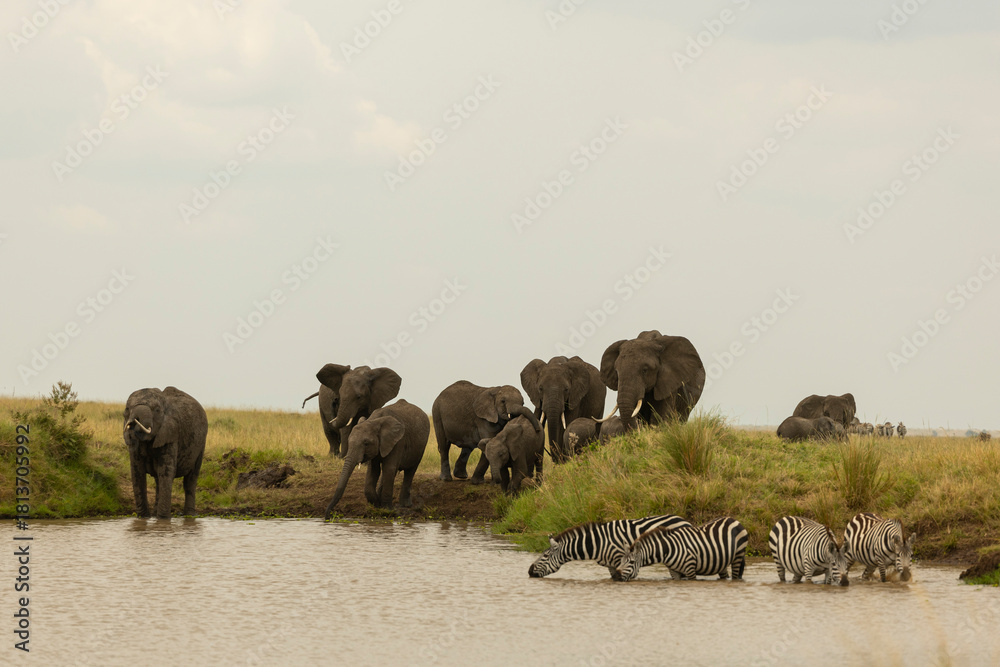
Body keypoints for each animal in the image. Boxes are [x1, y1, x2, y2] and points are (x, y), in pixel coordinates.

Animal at [123, 387, 207, 519]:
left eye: (157, 410)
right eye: (127, 409)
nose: (134, 422)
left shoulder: (171, 433)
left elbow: (166, 471)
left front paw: (163, 519)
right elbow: (137, 472)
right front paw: (143, 518)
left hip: (201, 444)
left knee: (190, 480)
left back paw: (189, 516)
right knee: (158, 480)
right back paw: (154, 515)